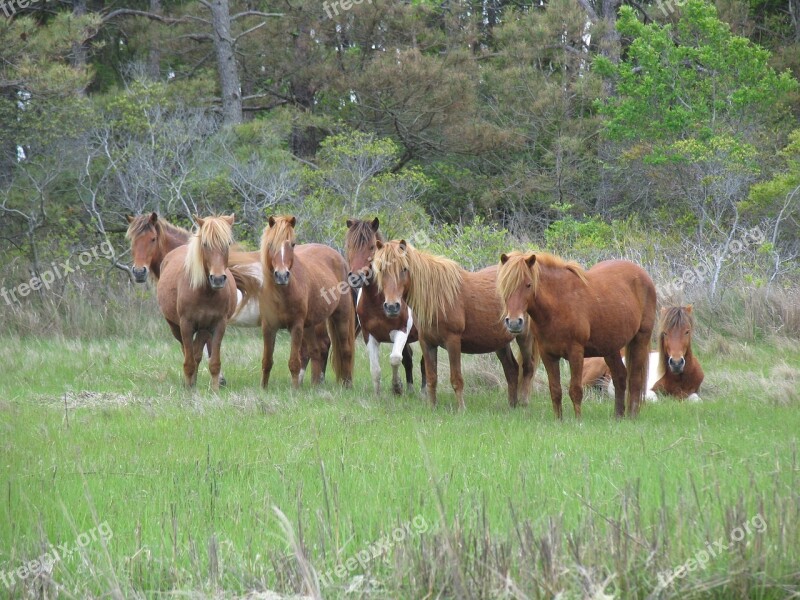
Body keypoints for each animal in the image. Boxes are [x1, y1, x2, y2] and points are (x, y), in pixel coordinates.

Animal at [156, 214, 238, 390]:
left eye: (228, 243)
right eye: (205, 244)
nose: (218, 279)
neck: (205, 292)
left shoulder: (217, 325)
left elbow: (213, 362)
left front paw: (215, 389)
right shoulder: (186, 325)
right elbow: (189, 361)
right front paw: (188, 388)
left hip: (203, 329)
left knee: (197, 352)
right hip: (176, 327)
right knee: (187, 351)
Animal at [260, 216, 356, 390]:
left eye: (292, 244)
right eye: (270, 244)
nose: (282, 275)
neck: (282, 293)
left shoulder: (296, 326)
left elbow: (294, 362)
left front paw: (294, 390)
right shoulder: (268, 327)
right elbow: (267, 361)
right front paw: (263, 388)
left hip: (341, 317)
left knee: (346, 350)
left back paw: (347, 385)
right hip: (311, 325)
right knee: (317, 350)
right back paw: (316, 385)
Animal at [344, 218, 424, 396]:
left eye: (371, 247)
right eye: (349, 245)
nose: (356, 278)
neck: (378, 302)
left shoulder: (401, 331)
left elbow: (394, 358)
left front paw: (396, 387)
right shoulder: (369, 336)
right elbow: (376, 369)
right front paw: (378, 395)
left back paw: (424, 390)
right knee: (409, 359)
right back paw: (410, 389)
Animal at [370, 239, 536, 412]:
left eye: (404, 268)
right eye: (381, 269)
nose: (392, 306)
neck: (437, 297)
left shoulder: (453, 342)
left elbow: (456, 379)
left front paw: (461, 409)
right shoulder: (427, 343)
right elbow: (431, 378)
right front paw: (432, 407)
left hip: (524, 337)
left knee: (528, 368)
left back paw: (523, 403)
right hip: (500, 342)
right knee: (512, 370)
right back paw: (512, 406)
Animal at [500, 251, 656, 420]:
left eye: (528, 284)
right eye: (504, 285)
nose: (514, 322)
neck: (558, 304)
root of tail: (642, 275)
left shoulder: (575, 353)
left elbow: (575, 390)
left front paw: (578, 420)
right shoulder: (548, 355)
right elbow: (555, 390)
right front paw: (559, 420)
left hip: (640, 339)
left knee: (635, 380)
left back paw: (632, 415)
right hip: (610, 348)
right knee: (620, 377)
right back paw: (618, 417)